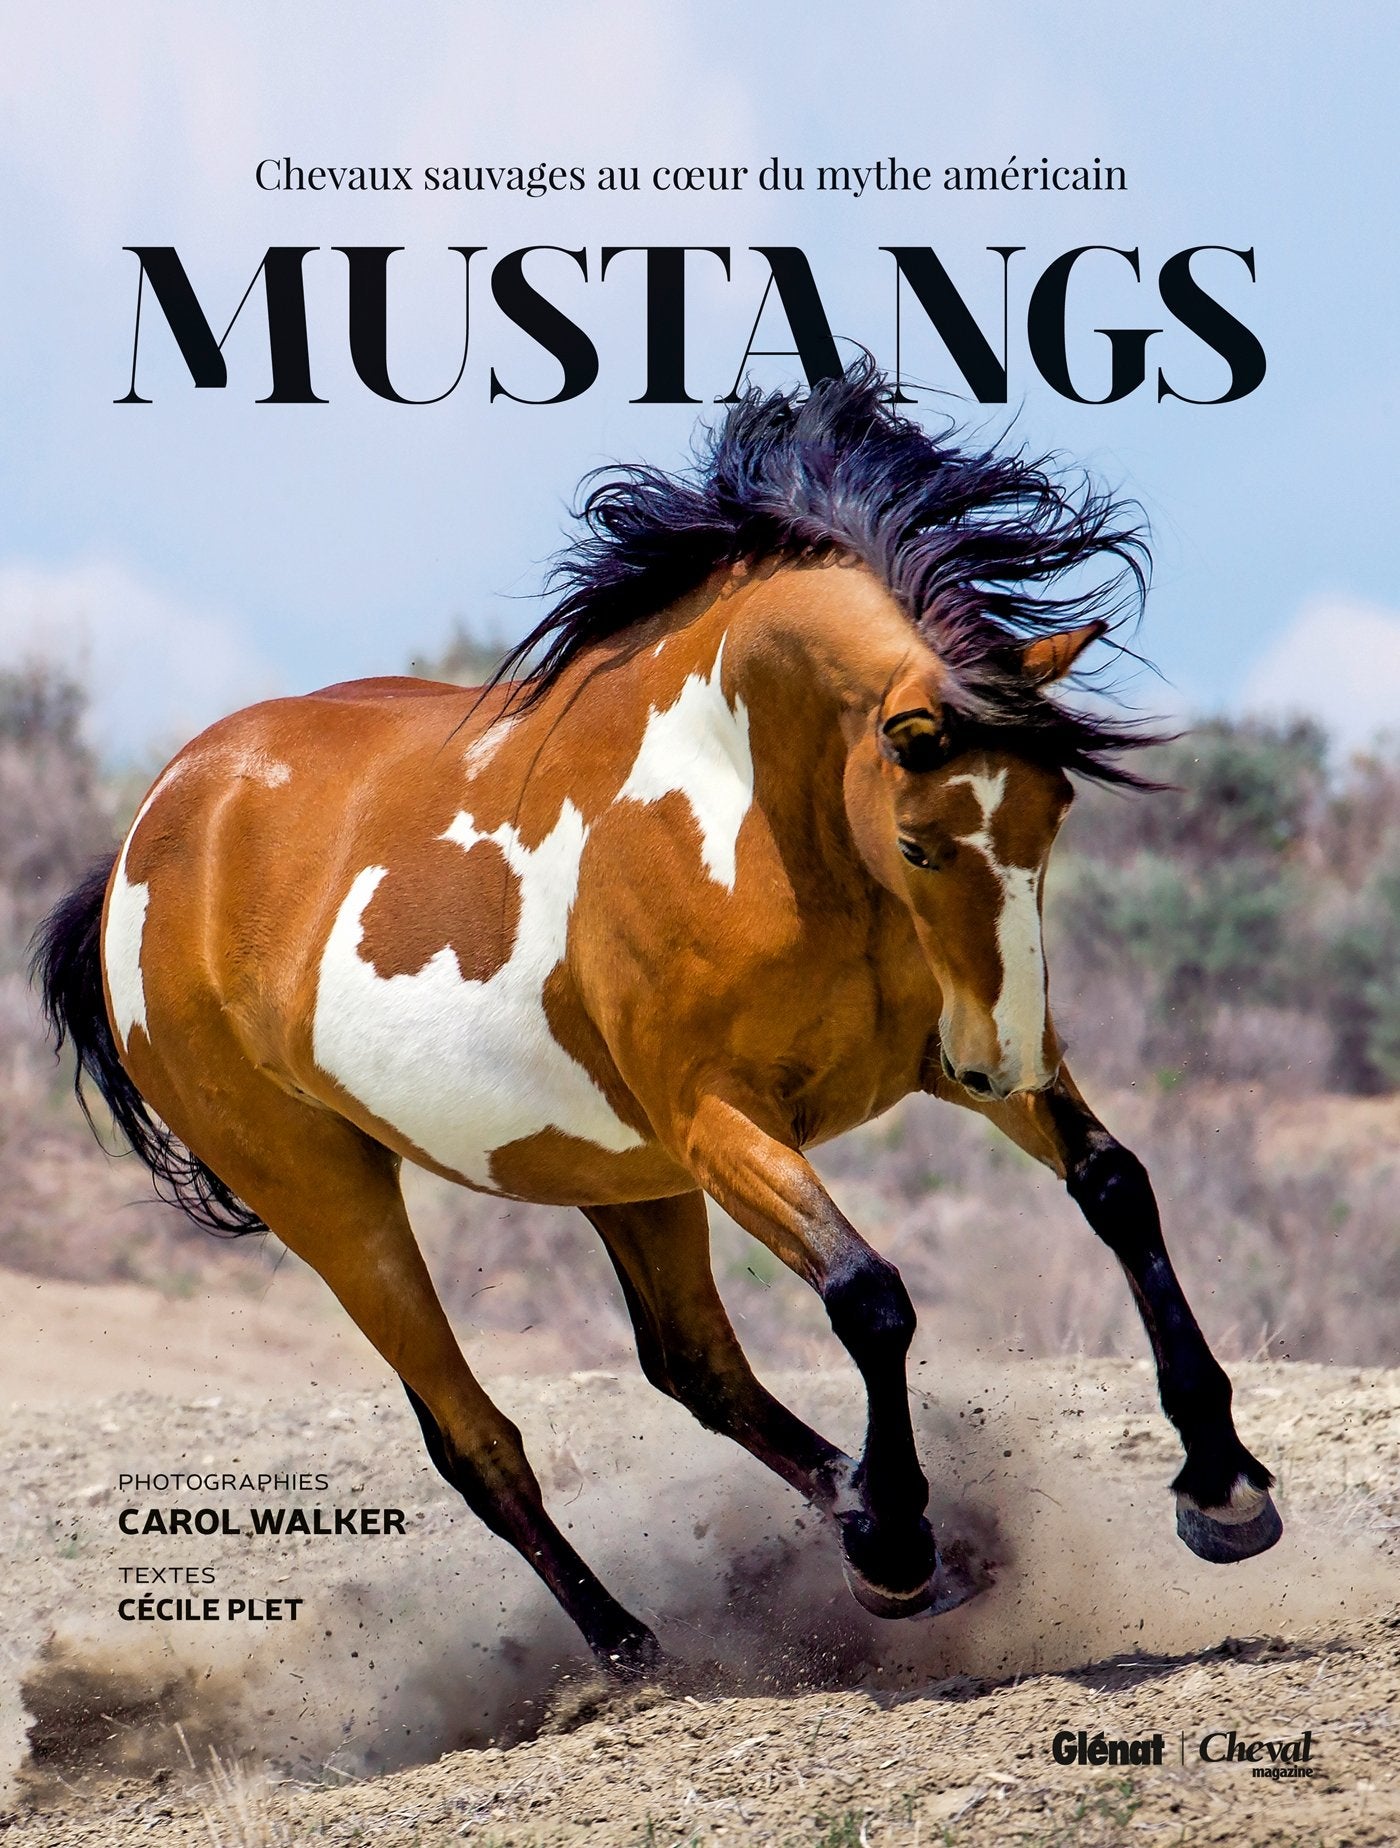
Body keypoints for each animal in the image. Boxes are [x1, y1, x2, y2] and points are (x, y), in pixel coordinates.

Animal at [33, 362, 1281, 1679]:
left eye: (1054, 816)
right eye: (918, 845)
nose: (1004, 1062)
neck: (753, 820)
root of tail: (143, 845)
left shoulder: (925, 1061)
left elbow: (1114, 1189)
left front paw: (1221, 1490)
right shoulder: (719, 1120)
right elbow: (868, 1295)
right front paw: (897, 1548)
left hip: (611, 1170)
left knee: (693, 1364)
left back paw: (853, 1523)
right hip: (326, 1193)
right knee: (474, 1438)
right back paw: (642, 1648)